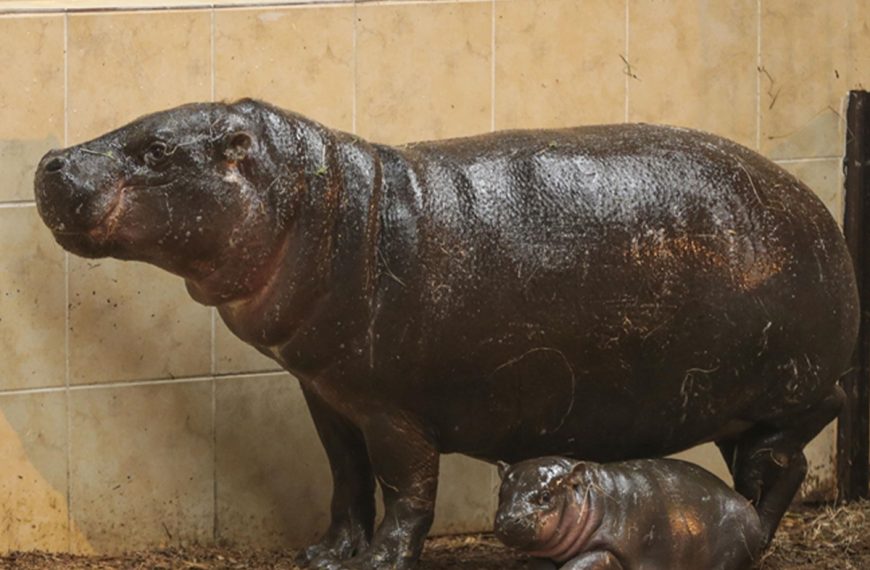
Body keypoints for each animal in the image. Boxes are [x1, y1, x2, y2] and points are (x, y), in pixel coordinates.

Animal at [495, 457, 765, 570]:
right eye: (500, 493)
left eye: (545, 496)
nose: (507, 519)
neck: (592, 499)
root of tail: (745, 502)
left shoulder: (609, 550)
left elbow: (580, 564)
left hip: (730, 552)